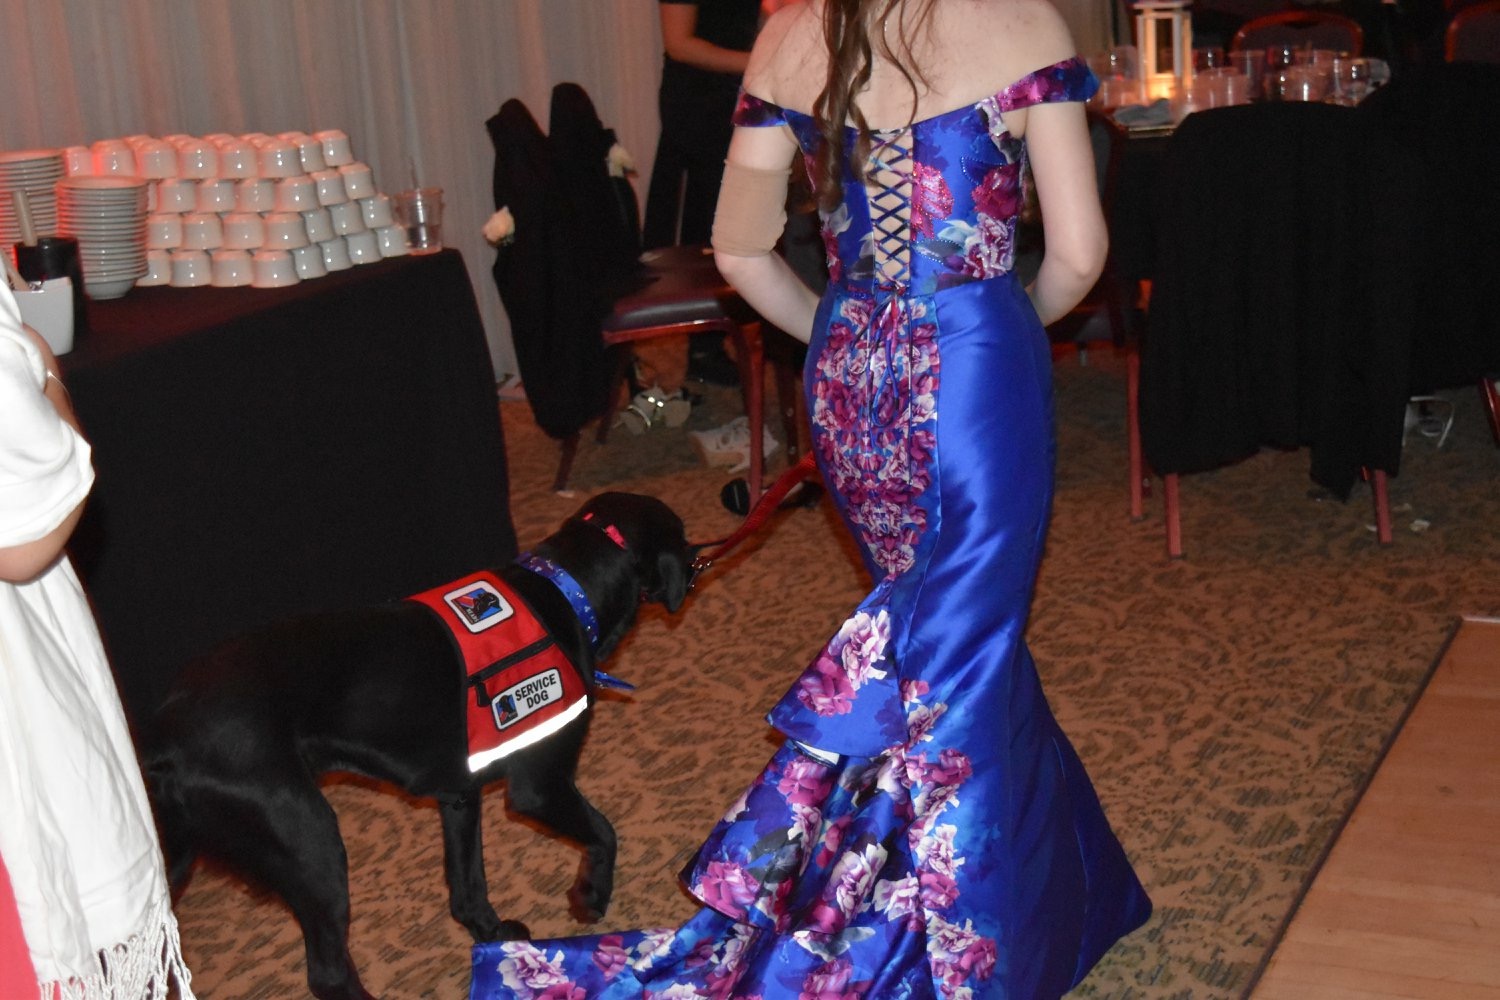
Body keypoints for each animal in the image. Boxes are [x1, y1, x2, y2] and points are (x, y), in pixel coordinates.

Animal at [146, 494, 696, 1000]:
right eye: (684, 537)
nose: (697, 562)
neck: (565, 589)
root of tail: (165, 737)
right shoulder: (540, 786)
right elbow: (604, 831)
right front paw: (592, 895)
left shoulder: (459, 796)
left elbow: (467, 887)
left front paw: (493, 936)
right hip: (310, 842)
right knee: (327, 974)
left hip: (175, 862)